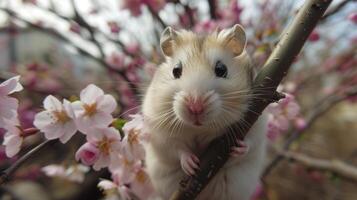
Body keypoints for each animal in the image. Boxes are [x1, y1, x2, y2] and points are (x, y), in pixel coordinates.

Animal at [140, 23, 266, 200]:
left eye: (221, 69)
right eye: (176, 70)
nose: (196, 107)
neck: (200, 128)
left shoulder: (257, 122)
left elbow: (251, 142)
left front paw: (238, 148)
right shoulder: (161, 134)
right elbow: (177, 149)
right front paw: (192, 164)